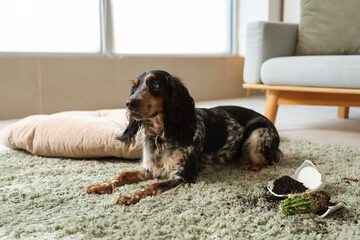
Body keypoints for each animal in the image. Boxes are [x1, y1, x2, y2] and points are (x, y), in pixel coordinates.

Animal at [84, 70, 282, 205]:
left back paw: (252, 166)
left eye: (155, 85)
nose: (129, 103)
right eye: (135, 86)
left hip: (257, 135)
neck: (162, 135)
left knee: (271, 160)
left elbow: (152, 186)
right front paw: (100, 186)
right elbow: (122, 174)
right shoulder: (149, 169)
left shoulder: (182, 176)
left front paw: (129, 196)